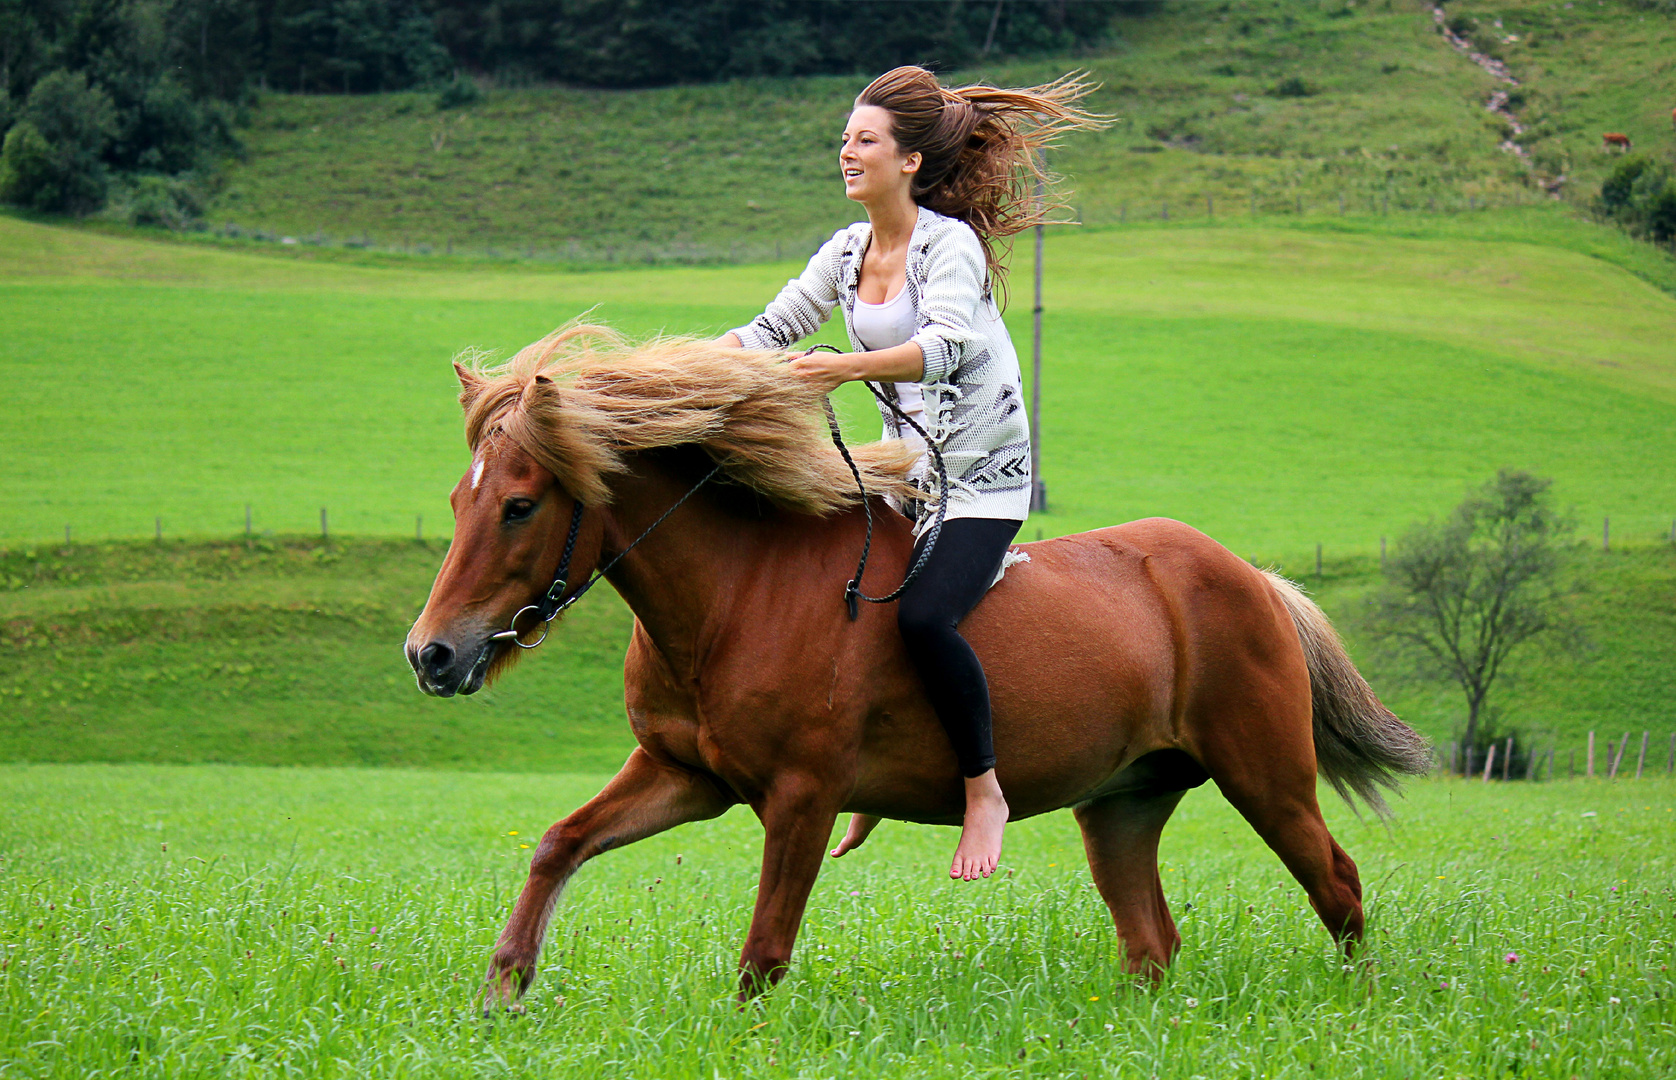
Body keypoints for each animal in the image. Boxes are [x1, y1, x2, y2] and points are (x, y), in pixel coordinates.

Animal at [405, 325, 1427, 1006]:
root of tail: (1252, 579)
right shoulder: (685, 776)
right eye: (459, 499)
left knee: (1338, 886)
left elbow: (763, 954)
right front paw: (504, 988)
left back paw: (1362, 1007)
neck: (738, 596)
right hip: (1123, 805)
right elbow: (560, 842)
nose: (432, 654)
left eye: (522, 505)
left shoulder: (803, 796)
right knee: (1152, 942)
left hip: (1267, 776)